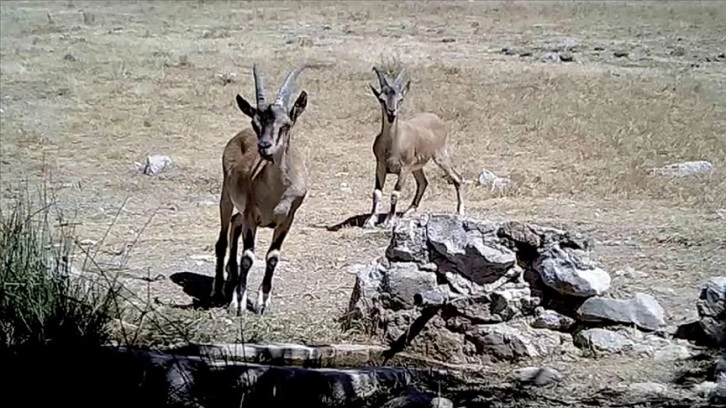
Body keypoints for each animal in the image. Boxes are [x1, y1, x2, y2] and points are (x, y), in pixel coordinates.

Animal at [212, 62, 312, 316]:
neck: (276, 193)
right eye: (256, 123)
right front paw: (238, 303)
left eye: (286, 125)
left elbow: (273, 257)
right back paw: (218, 289)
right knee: (222, 239)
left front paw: (262, 302)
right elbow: (248, 257)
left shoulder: (288, 218)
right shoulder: (252, 215)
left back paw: (231, 277)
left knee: (234, 225)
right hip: (226, 197)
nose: (264, 147)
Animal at [366, 65, 464, 228]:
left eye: (400, 99)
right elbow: (377, 193)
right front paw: (370, 220)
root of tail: (437, 119)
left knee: (457, 178)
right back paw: (408, 211)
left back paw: (460, 211)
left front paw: (389, 220)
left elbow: (395, 194)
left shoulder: (404, 168)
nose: (391, 113)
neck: (392, 145)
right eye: (381, 99)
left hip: (439, 155)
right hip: (417, 166)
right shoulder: (380, 166)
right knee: (423, 182)